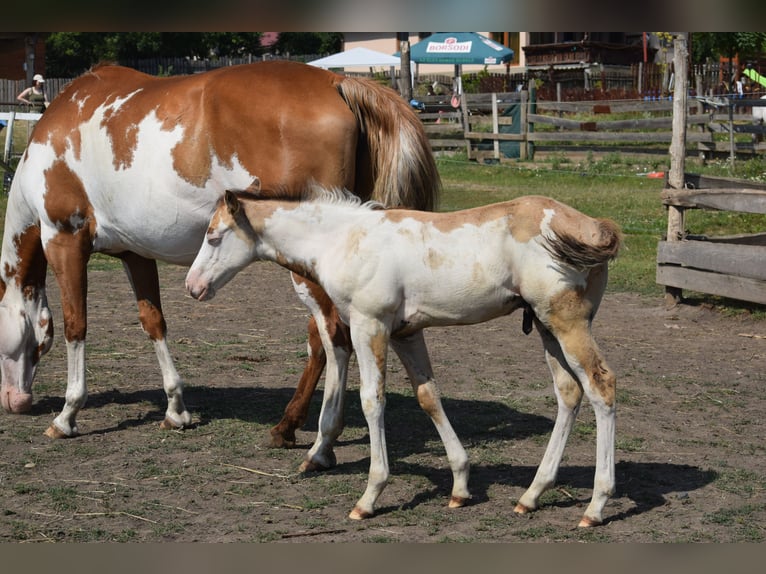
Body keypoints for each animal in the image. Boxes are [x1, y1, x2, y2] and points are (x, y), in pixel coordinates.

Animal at [0, 62, 440, 440]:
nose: (14, 402)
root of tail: (337, 81)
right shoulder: (135, 253)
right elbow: (153, 322)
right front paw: (176, 409)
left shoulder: (64, 240)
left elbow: (75, 325)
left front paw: (67, 415)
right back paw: (290, 424)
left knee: (331, 338)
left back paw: (309, 432)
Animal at [186, 187, 624, 528]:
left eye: (213, 236)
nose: (192, 287)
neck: (344, 239)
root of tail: (590, 225)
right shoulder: (406, 333)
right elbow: (428, 397)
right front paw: (460, 487)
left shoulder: (370, 325)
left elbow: (372, 400)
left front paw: (370, 496)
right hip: (548, 329)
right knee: (569, 393)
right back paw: (531, 495)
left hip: (567, 324)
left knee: (601, 386)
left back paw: (595, 506)